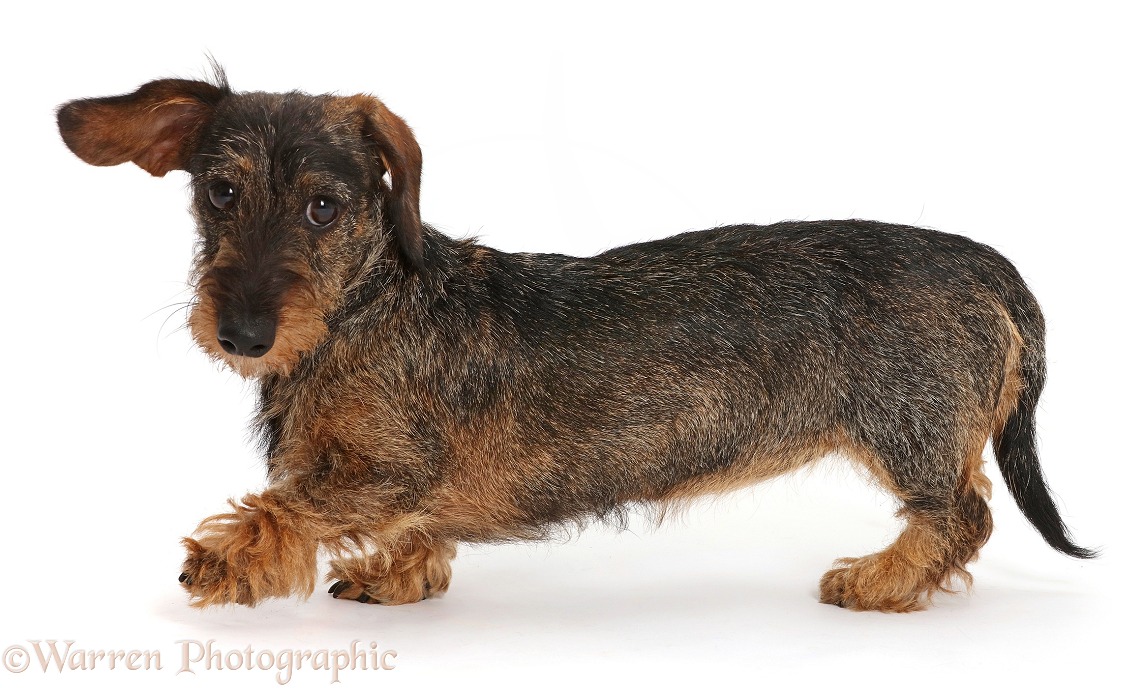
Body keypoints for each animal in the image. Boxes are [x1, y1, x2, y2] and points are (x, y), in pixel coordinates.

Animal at [57, 70, 1091, 612]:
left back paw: (879, 580)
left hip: (910, 433)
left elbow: (286, 505)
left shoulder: (379, 470)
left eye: (324, 205)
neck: (367, 307)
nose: (241, 332)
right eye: (219, 190)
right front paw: (397, 575)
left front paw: (222, 560)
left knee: (962, 515)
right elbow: (414, 534)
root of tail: (983, 264)